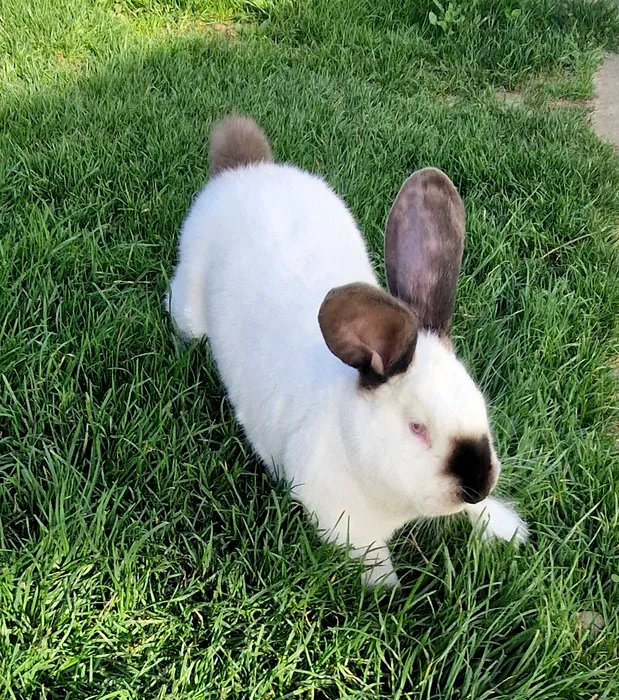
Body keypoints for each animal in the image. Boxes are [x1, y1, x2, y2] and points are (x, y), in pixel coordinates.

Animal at [165, 115, 528, 588]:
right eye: (417, 428)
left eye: (480, 404)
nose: (477, 484)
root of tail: (245, 170)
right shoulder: (349, 531)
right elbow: (377, 569)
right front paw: (392, 596)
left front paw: (507, 529)